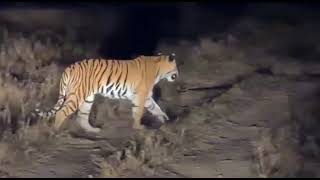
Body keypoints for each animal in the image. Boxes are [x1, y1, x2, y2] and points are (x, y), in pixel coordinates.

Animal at [34, 52, 180, 132]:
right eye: (176, 67)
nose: (177, 74)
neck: (158, 69)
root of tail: (69, 68)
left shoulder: (147, 97)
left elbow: (156, 107)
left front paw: (164, 118)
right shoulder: (141, 96)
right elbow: (139, 112)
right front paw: (138, 127)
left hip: (88, 99)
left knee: (82, 116)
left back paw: (93, 130)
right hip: (76, 96)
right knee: (61, 113)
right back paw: (55, 131)